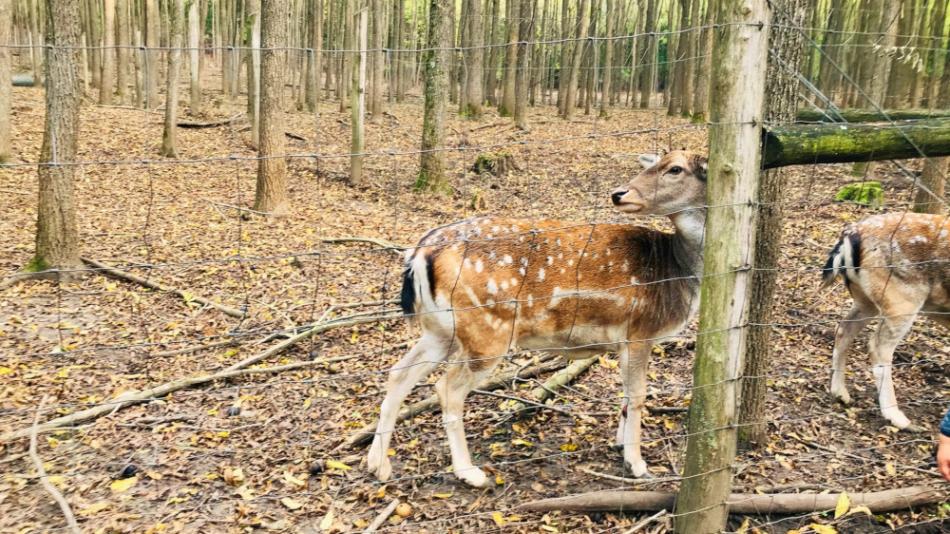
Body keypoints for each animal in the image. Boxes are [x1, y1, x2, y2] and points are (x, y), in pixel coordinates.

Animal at [368, 152, 712, 490]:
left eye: (674, 168)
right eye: (664, 165)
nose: (619, 193)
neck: (677, 272)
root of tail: (418, 254)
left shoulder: (625, 341)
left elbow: (626, 394)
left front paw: (620, 445)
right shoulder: (640, 330)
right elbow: (639, 395)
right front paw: (637, 464)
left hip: (440, 330)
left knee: (399, 373)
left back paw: (378, 465)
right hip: (487, 333)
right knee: (447, 388)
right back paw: (469, 472)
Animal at [820, 211, 948, 434]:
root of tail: (851, 233)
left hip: (865, 298)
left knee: (844, 328)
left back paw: (840, 392)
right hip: (902, 299)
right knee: (878, 346)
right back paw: (897, 417)